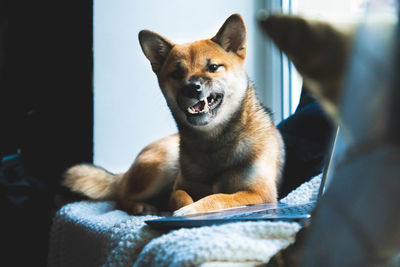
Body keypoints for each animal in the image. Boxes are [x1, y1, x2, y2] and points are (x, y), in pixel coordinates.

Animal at [62, 13, 284, 217]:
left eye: (213, 67)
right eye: (176, 73)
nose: (191, 88)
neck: (211, 142)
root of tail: (124, 174)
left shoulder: (259, 193)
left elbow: (219, 198)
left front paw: (192, 209)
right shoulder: (181, 185)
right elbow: (179, 196)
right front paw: (183, 209)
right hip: (163, 165)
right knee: (121, 198)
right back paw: (141, 207)